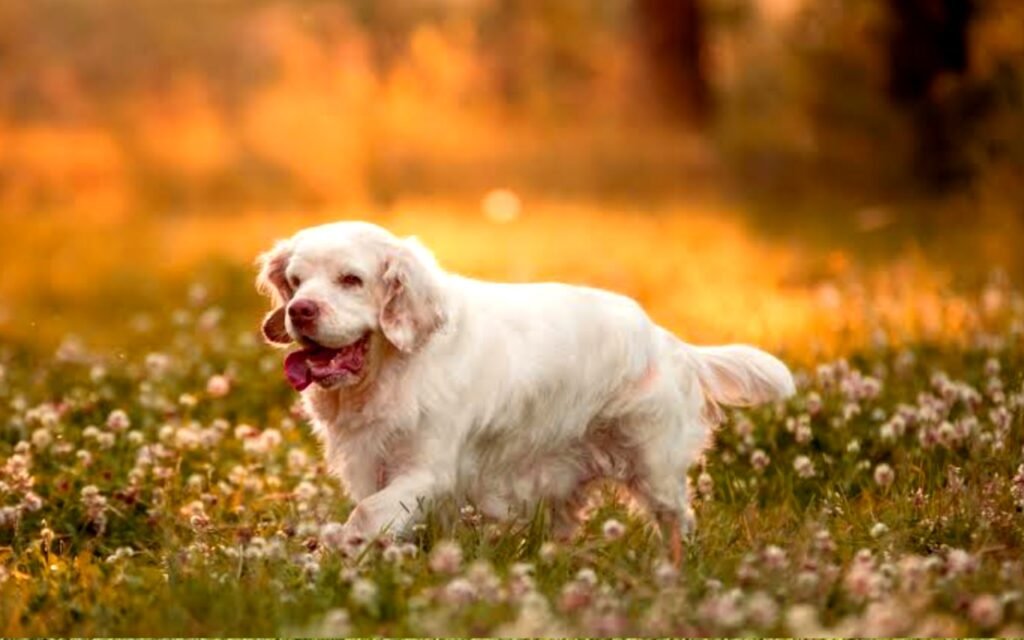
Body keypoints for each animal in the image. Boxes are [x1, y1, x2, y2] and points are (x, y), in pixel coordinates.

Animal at [253, 222, 790, 552]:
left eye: (352, 279)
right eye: (296, 281)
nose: (300, 311)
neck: (391, 370)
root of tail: (667, 341)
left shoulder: (428, 470)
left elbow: (366, 515)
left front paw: (340, 551)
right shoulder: (371, 462)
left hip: (653, 468)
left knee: (677, 522)